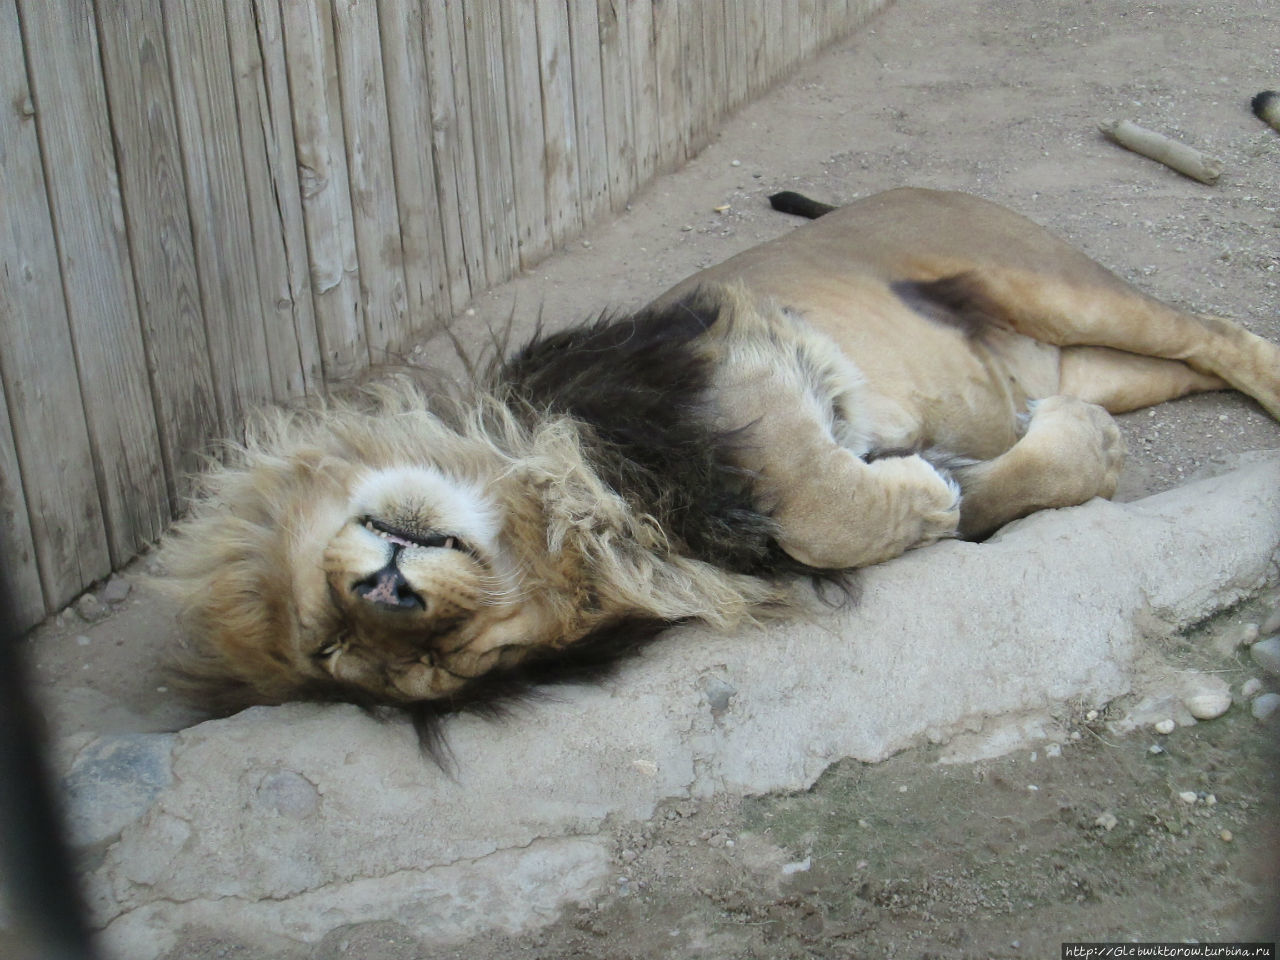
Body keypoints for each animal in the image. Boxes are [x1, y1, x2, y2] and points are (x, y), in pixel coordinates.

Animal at [167, 185, 1280, 742]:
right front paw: (991, 475)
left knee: (1215, 328)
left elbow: (818, 498)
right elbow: (950, 497)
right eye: (450, 664)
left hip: (1045, 281)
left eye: (326, 629)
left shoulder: (713, 357)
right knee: (1180, 361)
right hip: (1095, 359)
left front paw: (920, 489)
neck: (606, 507)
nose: (387, 596)